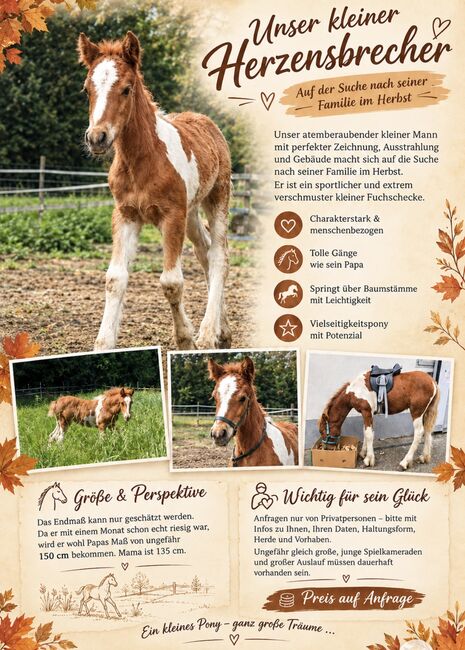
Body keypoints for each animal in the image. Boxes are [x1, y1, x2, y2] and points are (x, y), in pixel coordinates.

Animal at [78, 31, 231, 351]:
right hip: (191, 212)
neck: (143, 160)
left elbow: (171, 282)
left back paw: (208, 333)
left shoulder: (171, 216)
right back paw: (223, 331)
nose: (97, 138)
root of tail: (207, 122)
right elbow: (115, 278)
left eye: (126, 89)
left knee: (219, 256)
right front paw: (103, 344)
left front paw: (186, 340)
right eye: (86, 90)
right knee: (204, 251)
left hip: (218, 197)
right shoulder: (126, 215)